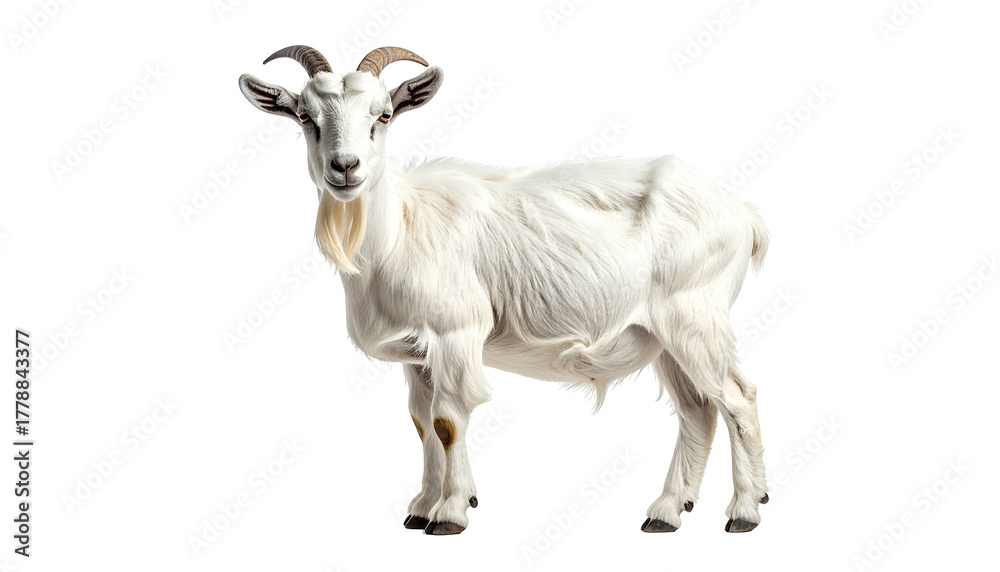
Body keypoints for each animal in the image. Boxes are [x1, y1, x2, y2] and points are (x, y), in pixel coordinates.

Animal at [239, 45, 771, 535]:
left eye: (383, 114)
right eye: (305, 116)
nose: (345, 167)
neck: (397, 230)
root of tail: (742, 213)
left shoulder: (456, 331)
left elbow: (449, 420)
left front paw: (450, 514)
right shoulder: (418, 355)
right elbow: (421, 421)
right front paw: (423, 506)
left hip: (694, 316)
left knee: (738, 399)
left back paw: (744, 510)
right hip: (661, 335)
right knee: (697, 411)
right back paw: (667, 511)